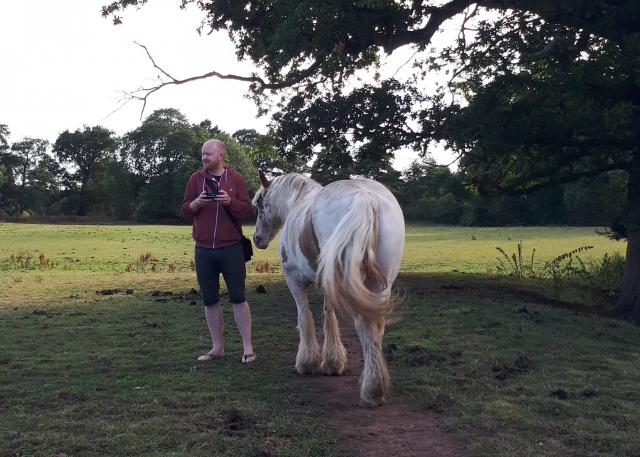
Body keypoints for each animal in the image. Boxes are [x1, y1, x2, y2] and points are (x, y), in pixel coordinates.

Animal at [252, 171, 405, 407]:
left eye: (259, 204)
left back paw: (371, 391)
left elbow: (305, 317)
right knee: (376, 328)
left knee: (364, 326)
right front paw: (333, 363)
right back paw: (375, 382)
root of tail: (364, 196)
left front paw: (307, 363)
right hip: (379, 287)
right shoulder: (328, 285)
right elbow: (328, 316)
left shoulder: (294, 280)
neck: (297, 203)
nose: (257, 238)